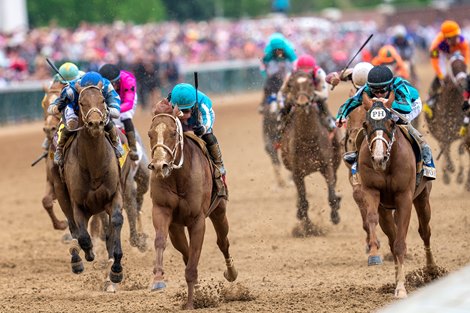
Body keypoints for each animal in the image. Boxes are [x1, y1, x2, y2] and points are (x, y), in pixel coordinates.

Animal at [52, 81, 125, 288]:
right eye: (82, 103)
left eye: (102, 100)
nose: (95, 124)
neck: (94, 168)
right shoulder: (77, 203)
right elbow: (83, 236)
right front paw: (87, 254)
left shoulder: (114, 195)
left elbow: (116, 221)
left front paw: (116, 268)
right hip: (61, 193)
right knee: (73, 228)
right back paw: (77, 258)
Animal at [148, 101, 237, 308]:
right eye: (150, 134)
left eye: (173, 133)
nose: (159, 166)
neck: (178, 177)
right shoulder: (162, 211)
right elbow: (160, 241)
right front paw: (158, 279)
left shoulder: (197, 220)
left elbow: (193, 260)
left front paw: (190, 304)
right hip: (176, 228)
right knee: (184, 251)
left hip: (219, 211)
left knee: (223, 242)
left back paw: (231, 273)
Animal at [280, 69, 342, 233]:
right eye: (291, 85)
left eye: (310, 83)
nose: (303, 103)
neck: (308, 140)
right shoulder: (297, 172)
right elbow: (303, 202)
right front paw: (307, 228)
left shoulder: (327, 165)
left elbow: (331, 195)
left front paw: (335, 216)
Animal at [356, 100, 436, 298]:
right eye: (366, 124)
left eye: (391, 123)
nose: (378, 158)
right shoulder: (371, 191)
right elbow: (372, 219)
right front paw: (373, 251)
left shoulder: (404, 197)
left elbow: (401, 243)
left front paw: (401, 288)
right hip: (386, 209)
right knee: (391, 237)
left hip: (422, 198)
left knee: (425, 231)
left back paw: (431, 269)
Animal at [426, 54, 466, 183]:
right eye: (453, 67)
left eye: (464, 66)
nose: (463, 83)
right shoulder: (442, 131)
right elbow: (445, 146)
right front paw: (449, 170)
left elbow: (460, 148)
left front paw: (460, 176)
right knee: (443, 146)